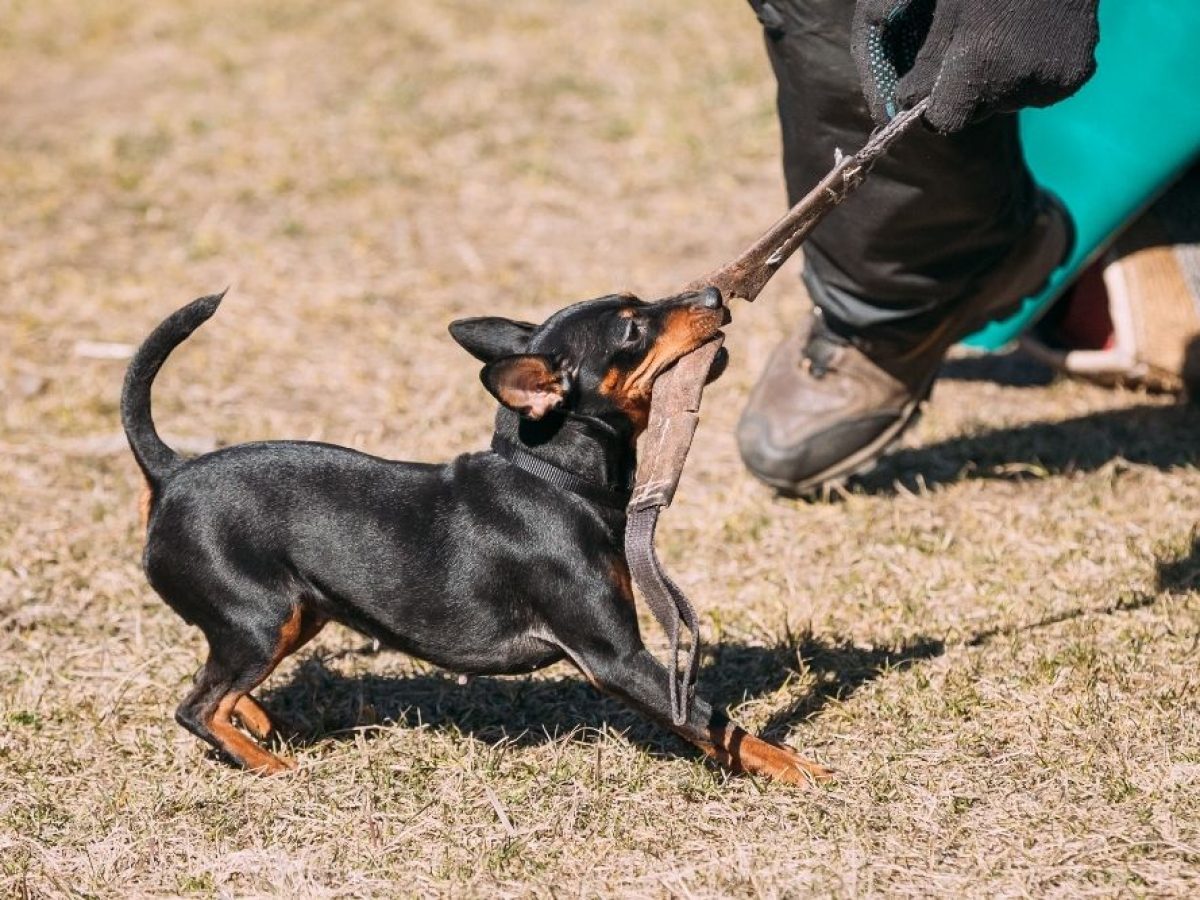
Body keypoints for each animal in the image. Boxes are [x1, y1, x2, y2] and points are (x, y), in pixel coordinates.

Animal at [124, 286, 835, 782]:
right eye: (633, 327)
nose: (714, 295)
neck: (553, 478)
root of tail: (172, 471)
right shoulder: (617, 658)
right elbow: (714, 722)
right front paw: (793, 767)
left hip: (297, 614)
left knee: (221, 689)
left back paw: (259, 723)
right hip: (261, 620)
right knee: (197, 707)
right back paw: (271, 766)